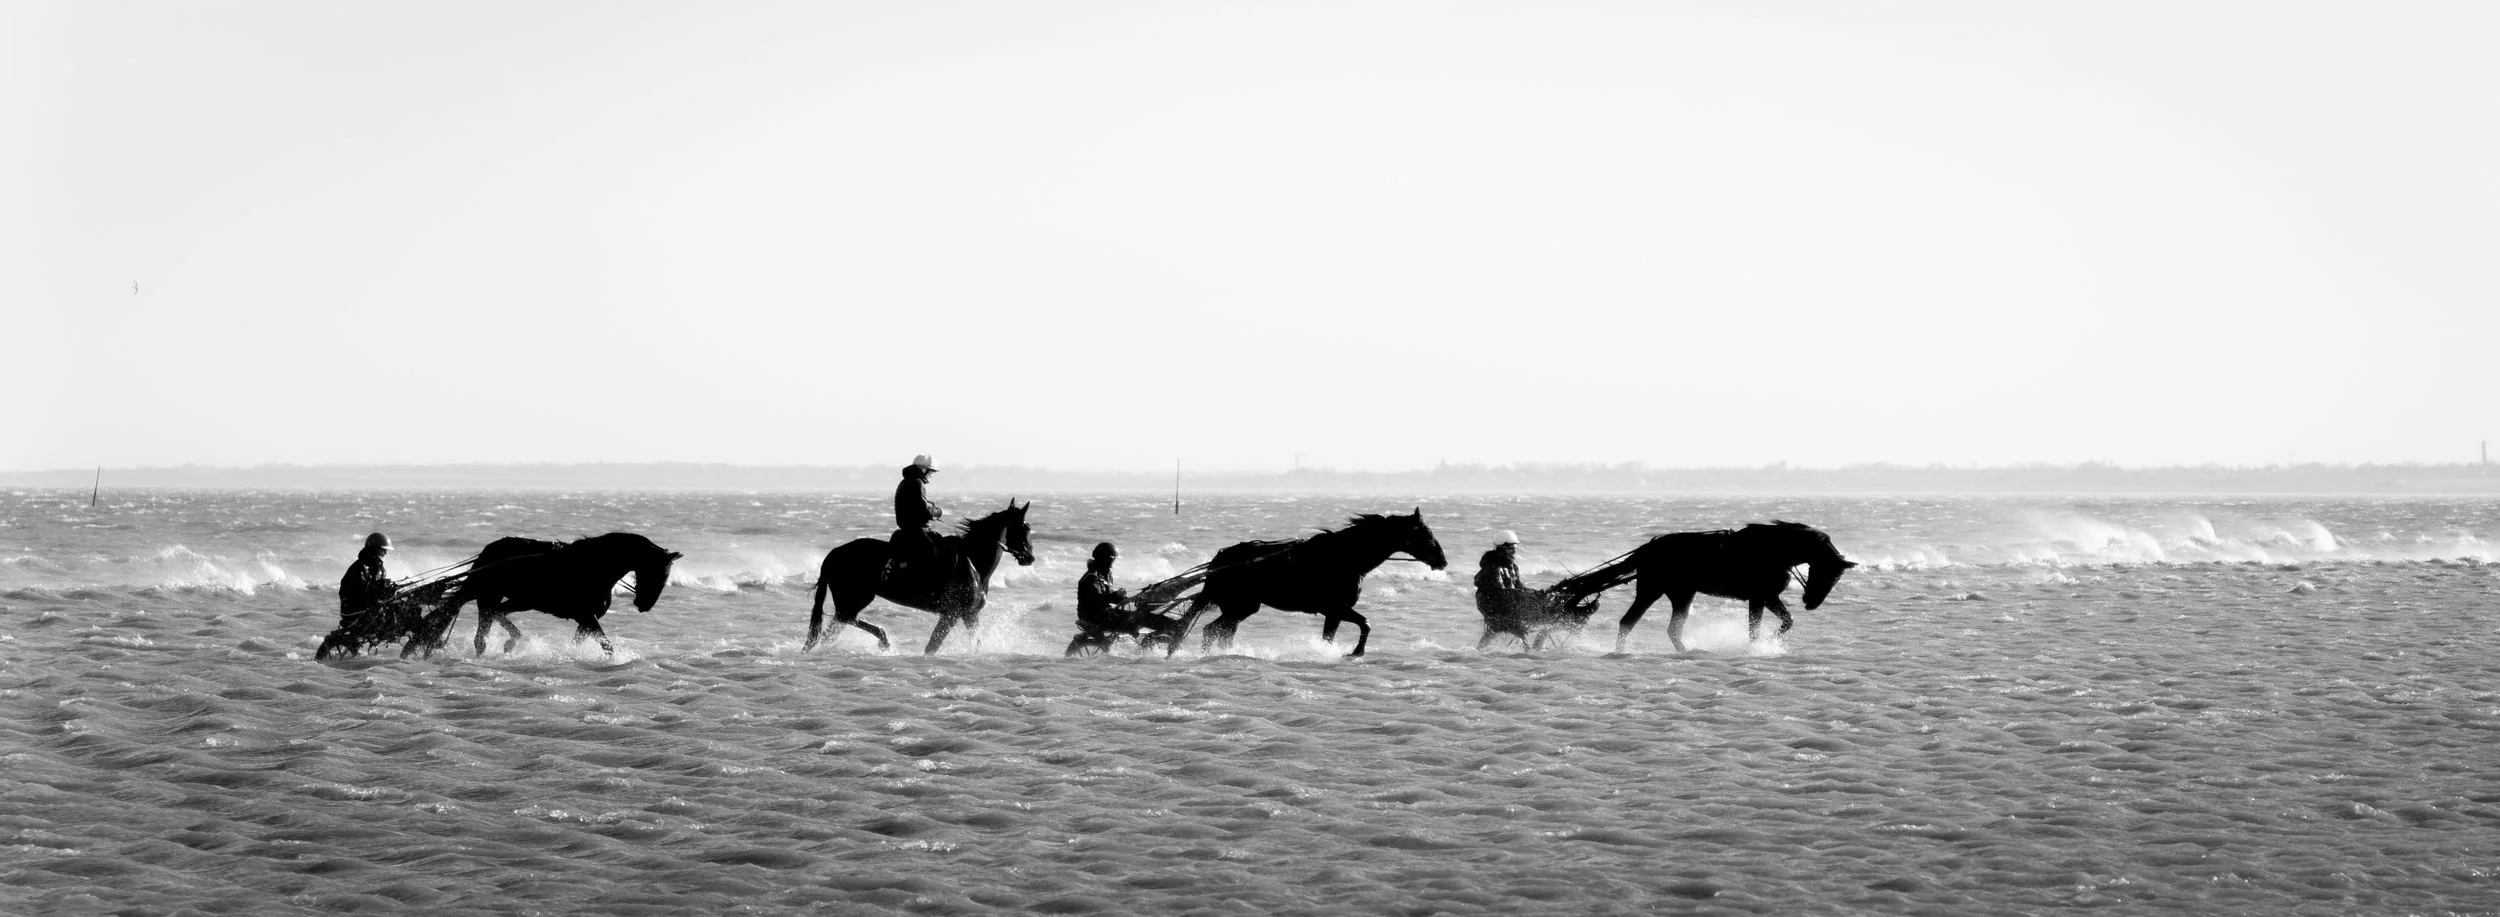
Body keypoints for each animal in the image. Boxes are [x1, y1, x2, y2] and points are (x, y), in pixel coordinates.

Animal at [403, 532, 682, 658]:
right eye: (657, 572)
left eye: (666, 576)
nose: (644, 605)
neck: (593, 567)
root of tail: (489, 550)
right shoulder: (585, 615)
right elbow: (607, 644)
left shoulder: (585, 619)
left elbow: (581, 642)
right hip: (492, 593)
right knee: (482, 617)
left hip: (510, 598)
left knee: (491, 616)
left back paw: (505, 643)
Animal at [804, 500, 1037, 655]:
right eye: (1024, 528)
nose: (1030, 557)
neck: (973, 562)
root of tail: (834, 553)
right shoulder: (952, 613)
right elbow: (933, 645)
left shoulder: (969, 614)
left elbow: (975, 642)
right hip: (856, 598)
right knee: (841, 622)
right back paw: (883, 640)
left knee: (836, 627)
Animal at [1165, 509, 1448, 658]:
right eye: (1425, 534)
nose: (1442, 561)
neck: (1345, 557)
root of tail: (1219, 559)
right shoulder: (1335, 608)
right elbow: (1366, 623)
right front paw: (1355, 652)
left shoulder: (1334, 613)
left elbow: (1330, 637)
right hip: (1240, 607)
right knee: (1211, 630)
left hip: (1239, 608)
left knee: (1219, 631)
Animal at [1552, 520, 1854, 653]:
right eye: (1828, 573)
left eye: (1837, 579)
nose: (1812, 603)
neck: (1774, 550)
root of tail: (1647, 549)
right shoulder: (1760, 597)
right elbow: (1758, 629)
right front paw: (1762, 644)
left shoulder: (1767, 597)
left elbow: (1786, 621)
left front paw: (1771, 640)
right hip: (1654, 591)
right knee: (1632, 622)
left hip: (1679, 594)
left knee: (1660, 627)